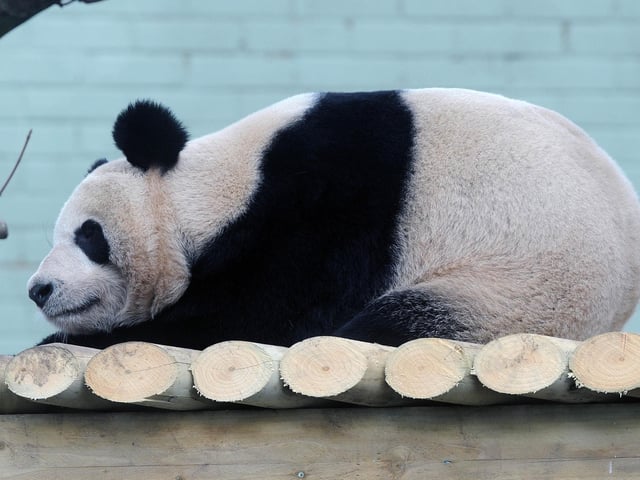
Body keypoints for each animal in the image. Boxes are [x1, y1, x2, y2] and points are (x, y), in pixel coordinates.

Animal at [27, 88, 640, 350]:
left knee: (393, 324)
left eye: (89, 236)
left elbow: (269, 312)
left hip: (520, 292)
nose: (39, 289)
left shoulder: (328, 195)